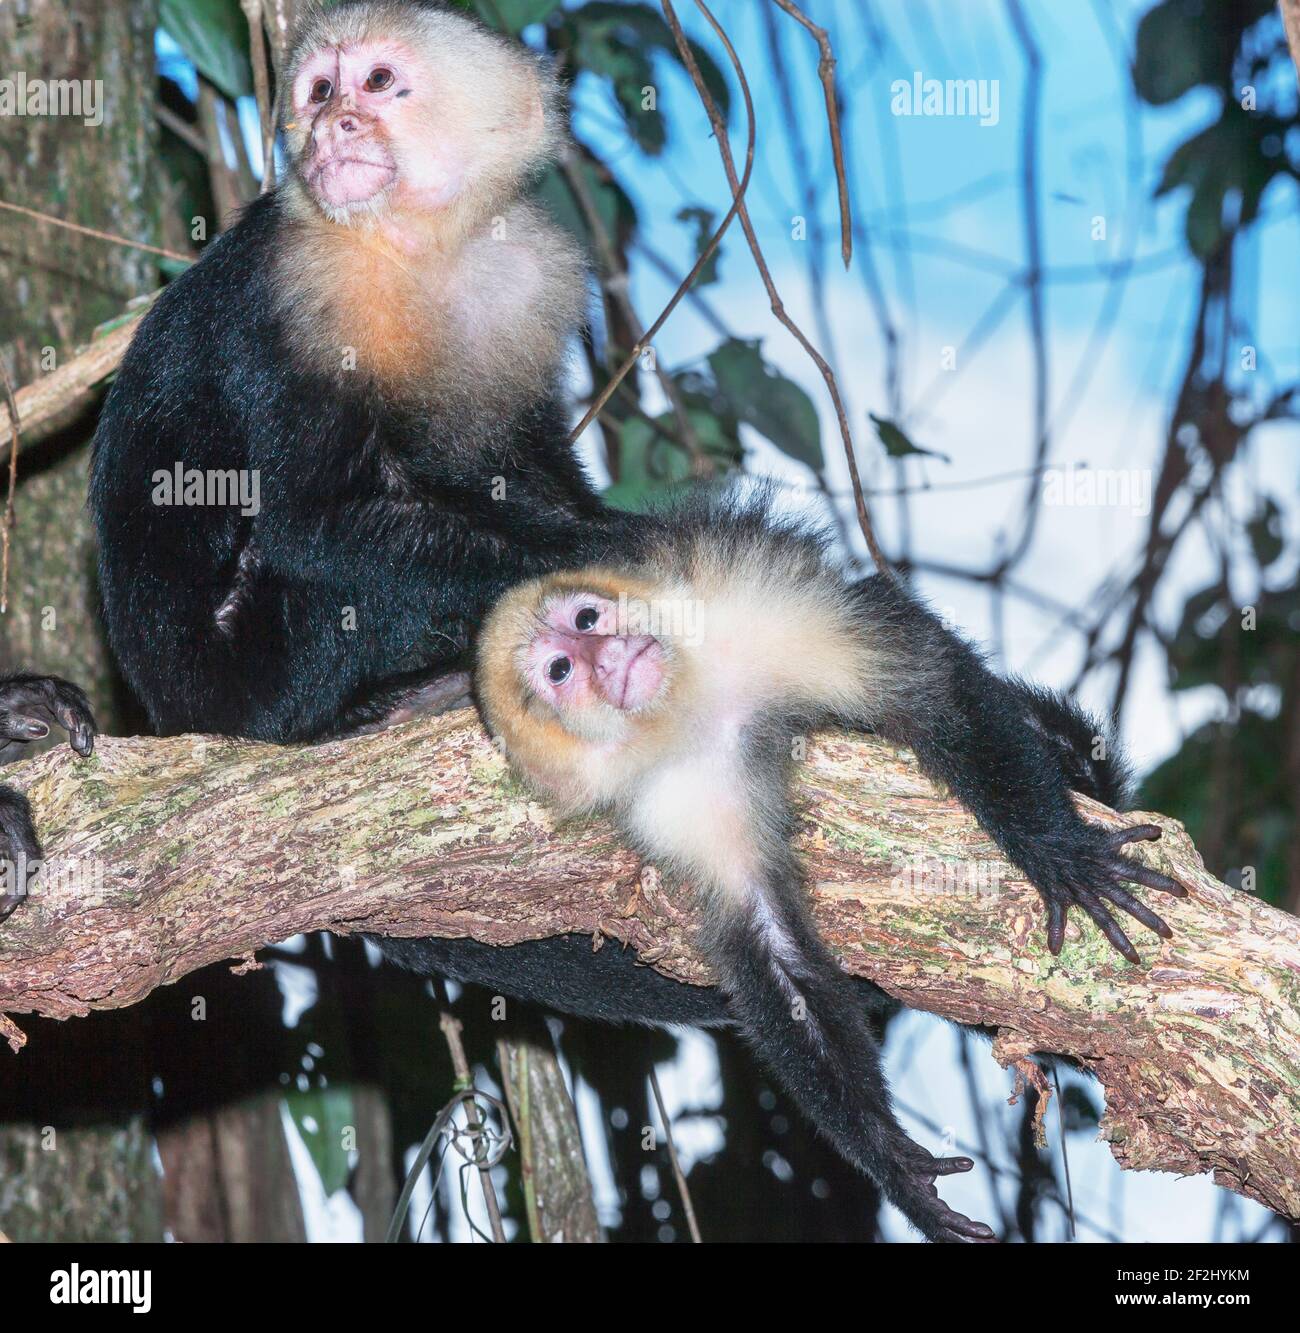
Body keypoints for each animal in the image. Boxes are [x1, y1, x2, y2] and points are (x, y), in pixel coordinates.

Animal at [477, 498, 1189, 1237]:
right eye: (561, 671)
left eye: (587, 619)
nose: (607, 653)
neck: (687, 706)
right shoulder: (673, 798)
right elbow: (773, 947)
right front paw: (892, 1163)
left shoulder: (739, 605)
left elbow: (929, 690)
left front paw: (1061, 855)